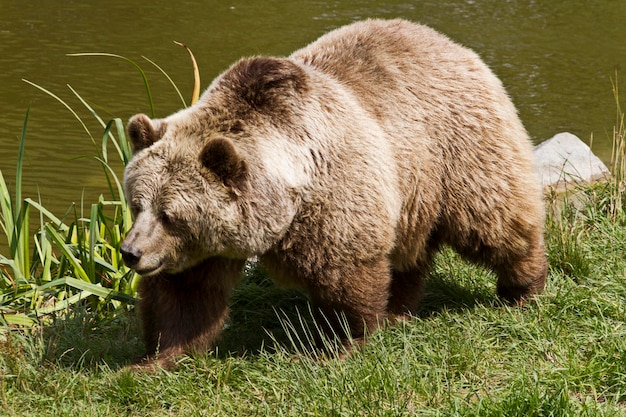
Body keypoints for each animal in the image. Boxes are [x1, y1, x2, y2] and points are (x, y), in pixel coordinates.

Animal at [119, 17, 544, 366]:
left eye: (170, 215)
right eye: (137, 205)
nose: (130, 252)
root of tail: (451, 43)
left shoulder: (334, 197)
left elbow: (346, 275)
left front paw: (342, 344)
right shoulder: (205, 248)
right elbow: (185, 296)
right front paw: (155, 359)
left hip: (457, 151)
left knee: (494, 222)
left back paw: (523, 288)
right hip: (411, 190)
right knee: (408, 252)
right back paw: (399, 309)